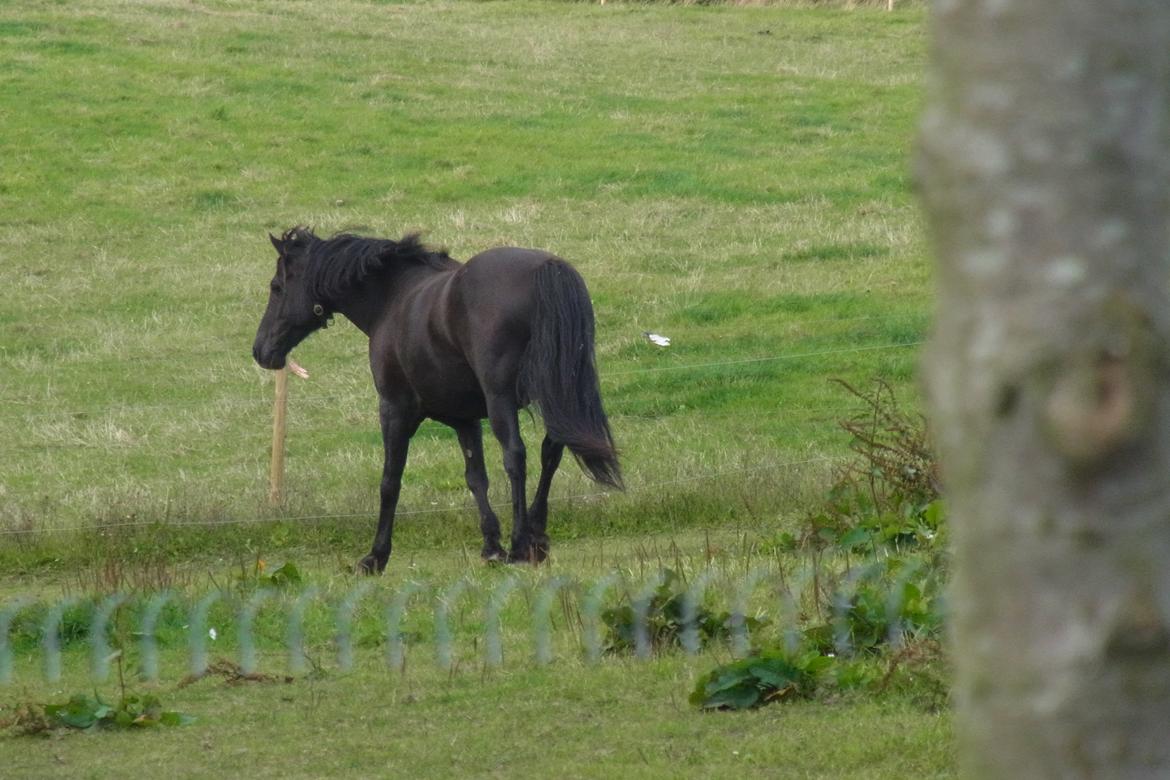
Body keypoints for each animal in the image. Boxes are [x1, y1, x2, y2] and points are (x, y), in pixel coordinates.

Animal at [252, 229, 627, 577]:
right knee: (551, 451)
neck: (393, 298)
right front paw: (491, 546)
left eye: (276, 287)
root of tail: (546, 269)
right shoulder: (465, 420)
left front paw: (376, 556)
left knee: (515, 457)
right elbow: (476, 478)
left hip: (503, 400)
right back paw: (536, 536)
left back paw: (522, 544)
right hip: (557, 394)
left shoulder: (395, 411)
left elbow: (390, 481)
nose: (261, 351)